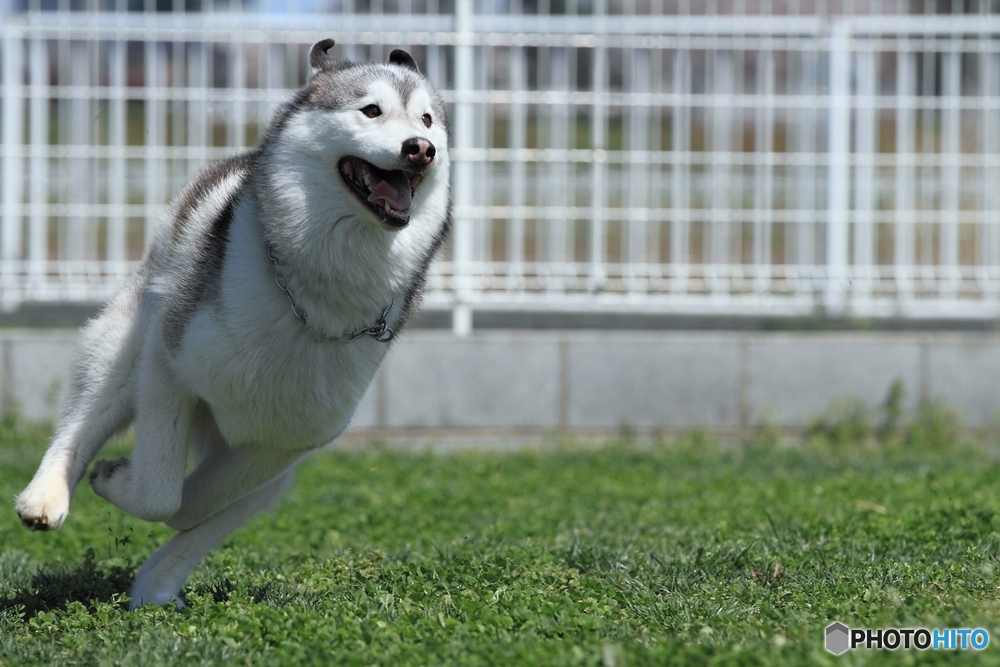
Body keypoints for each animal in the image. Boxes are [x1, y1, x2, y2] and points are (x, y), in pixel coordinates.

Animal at [11, 39, 448, 608]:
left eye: (427, 118)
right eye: (371, 110)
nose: (421, 148)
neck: (310, 297)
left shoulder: (286, 445)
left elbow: (191, 506)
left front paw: (123, 486)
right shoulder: (170, 364)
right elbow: (160, 494)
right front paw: (117, 480)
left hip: (271, 473)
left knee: (213, 517)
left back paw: (157, 586)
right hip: (123, 350)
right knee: (82, 422)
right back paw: (46, 497)